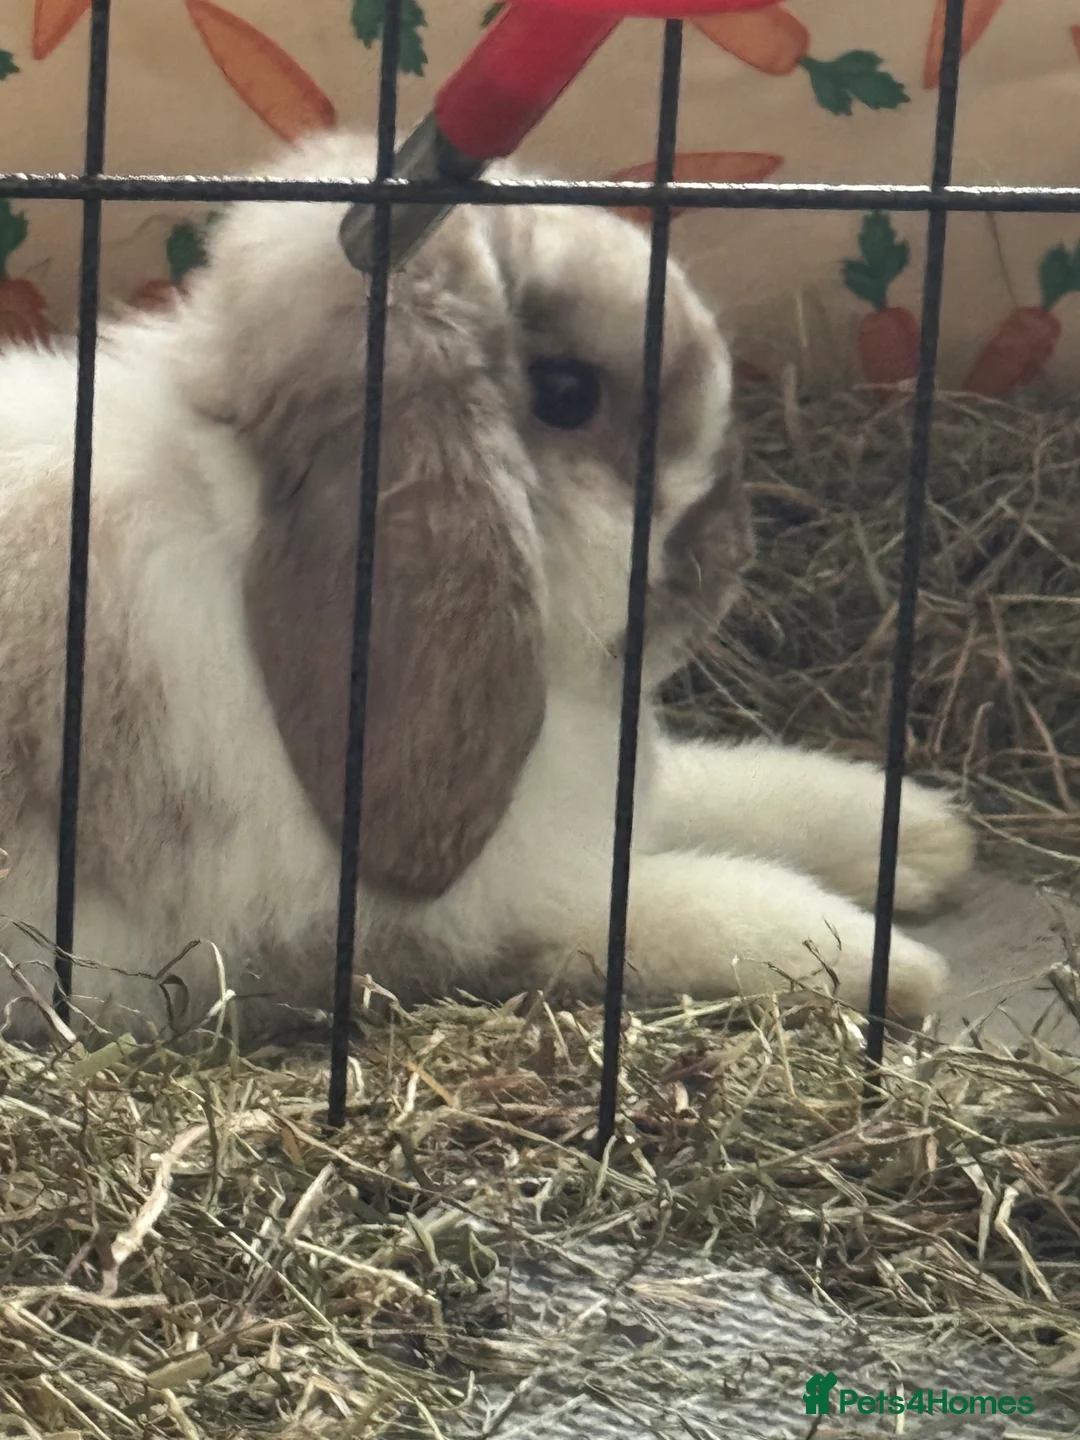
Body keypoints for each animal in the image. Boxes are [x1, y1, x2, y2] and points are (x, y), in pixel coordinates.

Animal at [0, 129, 975, 1048]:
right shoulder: (469, 918)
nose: (731, 553)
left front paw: (925, 838)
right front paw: (890, 964)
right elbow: (676, 909)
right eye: (567, 392)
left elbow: (718, 789)